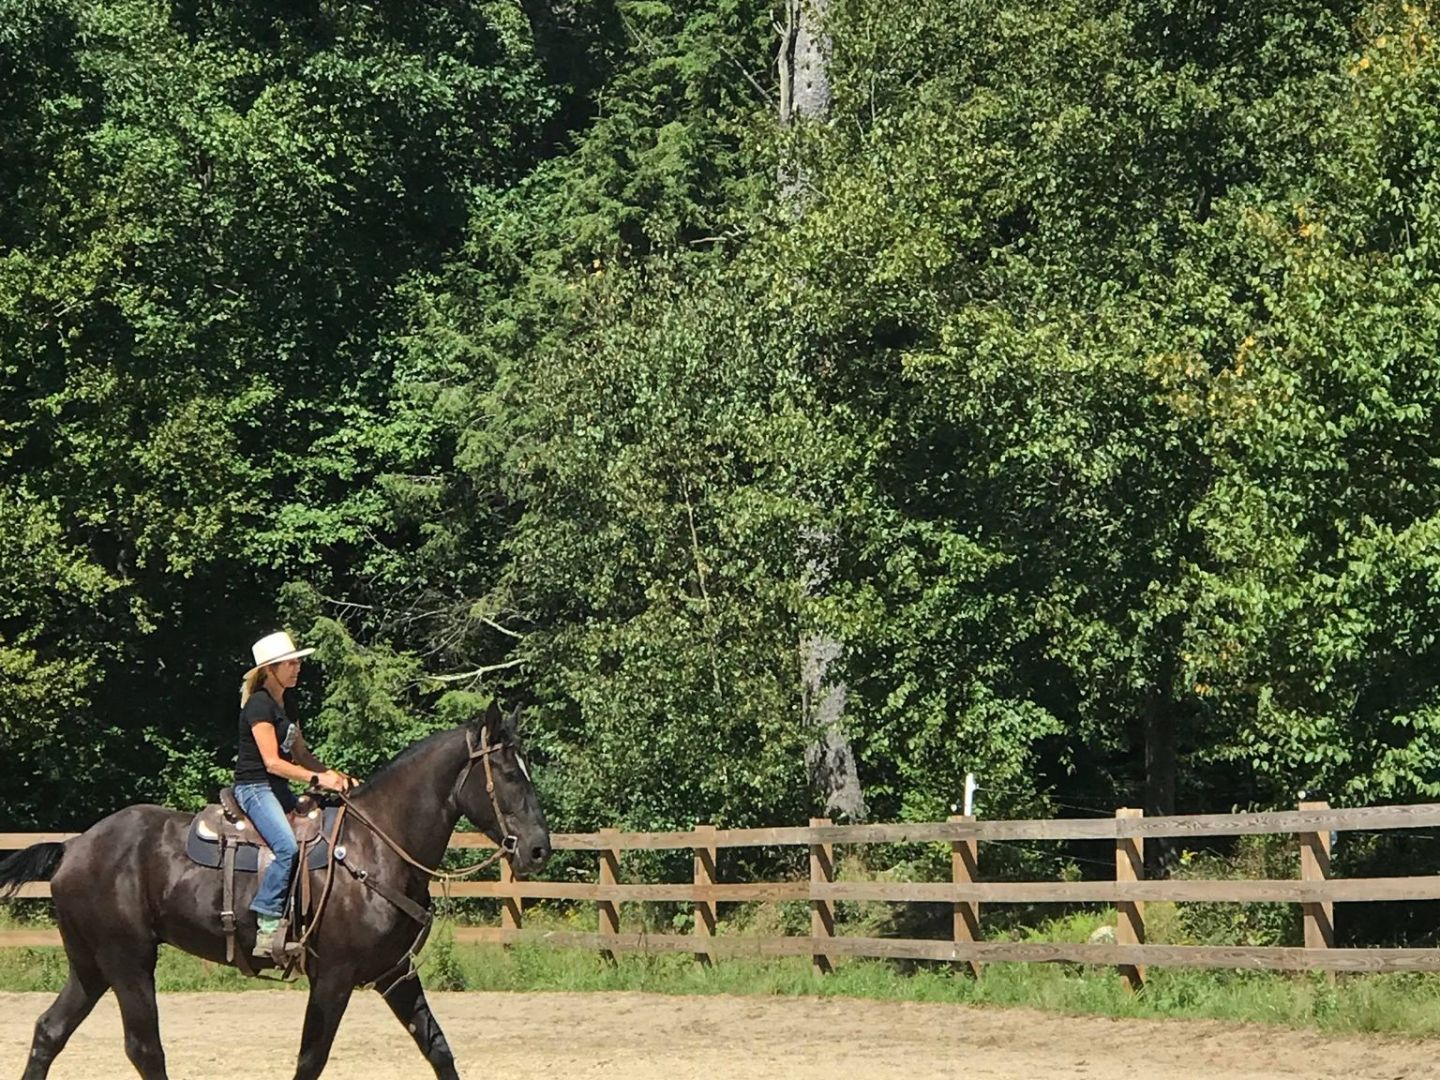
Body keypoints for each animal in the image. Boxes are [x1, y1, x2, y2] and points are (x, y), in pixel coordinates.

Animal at [0, 700, 550, 1080]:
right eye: (506, 773)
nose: (539, 849)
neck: (377, 847)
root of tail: (74, 846)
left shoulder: (396, 974)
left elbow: (438, 1049)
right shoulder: (334, 977)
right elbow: (311, 1059)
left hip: (90, 965)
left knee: (49, 1031)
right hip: (128, 962)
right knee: (145, 1049)